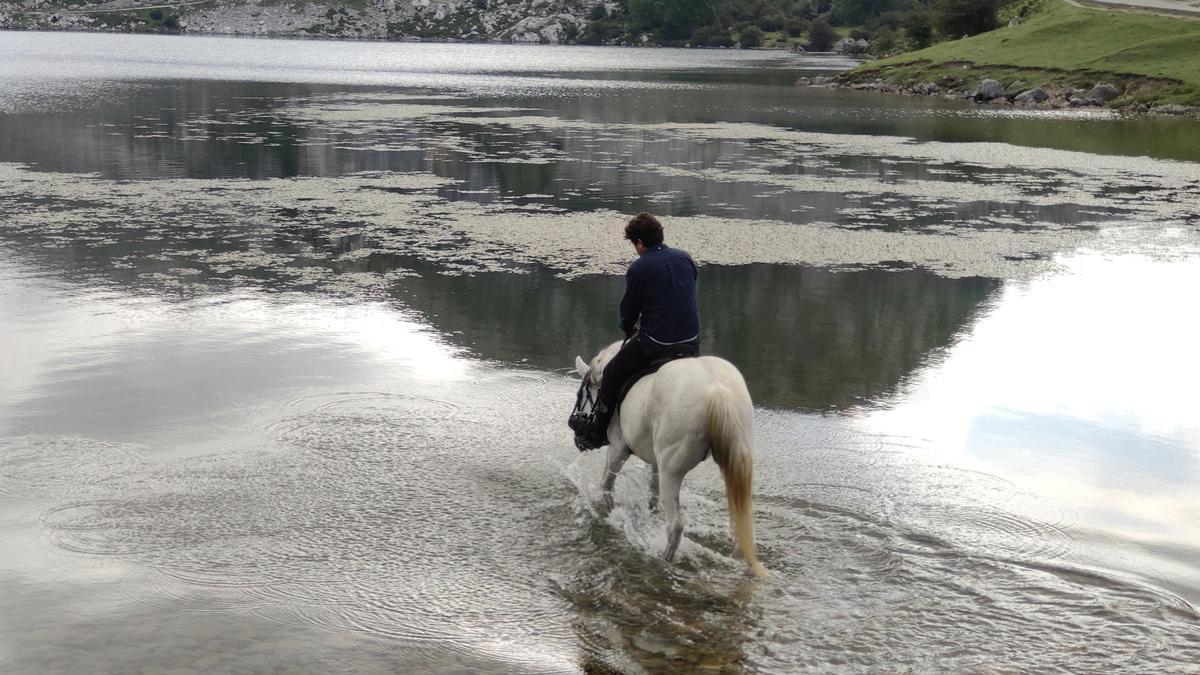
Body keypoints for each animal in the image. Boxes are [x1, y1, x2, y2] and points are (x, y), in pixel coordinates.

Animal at [573, 338, 768, 576]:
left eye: (581, 395)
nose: (579, 437)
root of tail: (717, 391)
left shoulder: (618, 448)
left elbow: (606, 485)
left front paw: (613, 517)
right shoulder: (655, 463)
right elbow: (652, 496)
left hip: (671, 471)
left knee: (675, 526)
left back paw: (664, 560)